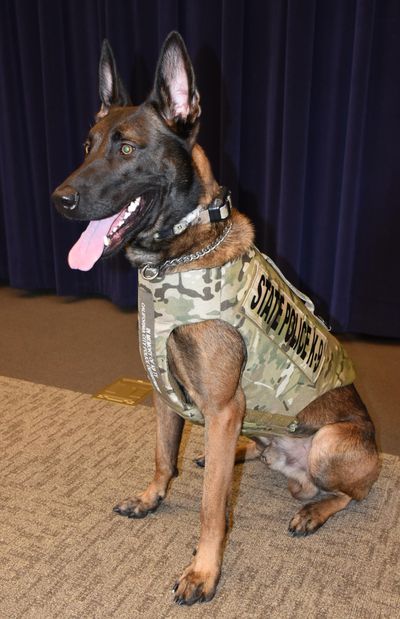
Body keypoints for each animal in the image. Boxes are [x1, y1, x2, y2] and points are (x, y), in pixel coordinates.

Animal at [51, 32, 380, 604]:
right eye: (87, 145)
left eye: (127, 148)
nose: (59, 200)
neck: (177, 255)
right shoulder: (164, 390)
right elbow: (164, 456)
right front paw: (152, 497)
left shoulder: (224, 407)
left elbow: (210, 508)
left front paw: (203, 571)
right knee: (250, 453)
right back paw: (235, 456)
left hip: (329, 445)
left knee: (345, 494)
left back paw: (313, 510)